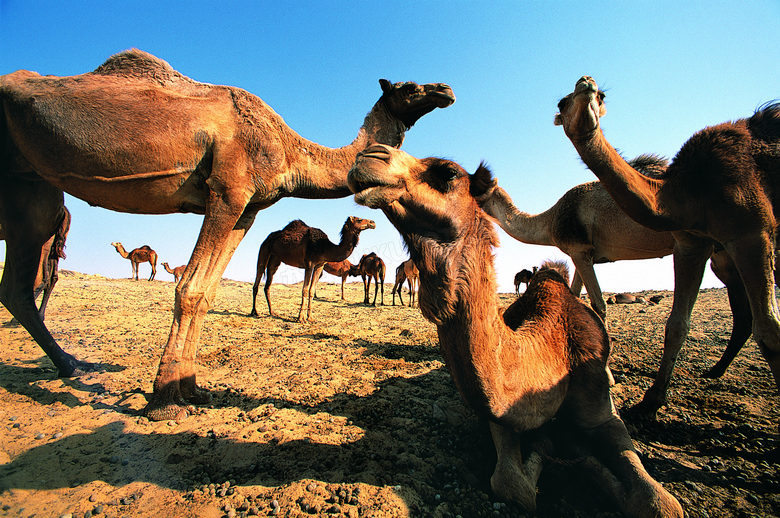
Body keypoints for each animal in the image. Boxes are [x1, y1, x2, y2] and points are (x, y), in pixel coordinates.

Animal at [0, 48, 458, 422]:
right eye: (409, 86)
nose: (446, 88)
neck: (289, 151)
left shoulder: (247, 209)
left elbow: (206, 292)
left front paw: (190, 388)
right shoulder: (228, 191)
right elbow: (190, 288)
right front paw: (165, 399)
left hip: (31, 185)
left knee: (17, 286)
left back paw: (70, 365)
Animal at [348, 142, 684, 518]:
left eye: (448, 172)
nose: (368, 156)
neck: (555, 351)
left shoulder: (604, 414)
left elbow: (660, 503)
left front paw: (575, 450)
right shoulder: (503, 415)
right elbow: (512, 484)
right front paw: (557, 445)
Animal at [556, 76, 780, 418]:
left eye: (601, 95)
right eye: (562, 101)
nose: (586, 83)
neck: (689, 189)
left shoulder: (753, 231)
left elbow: (770, 329)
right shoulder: (692, 241)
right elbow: (676, 325)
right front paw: (652, 398)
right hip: (724, 258)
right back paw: (714, 371)